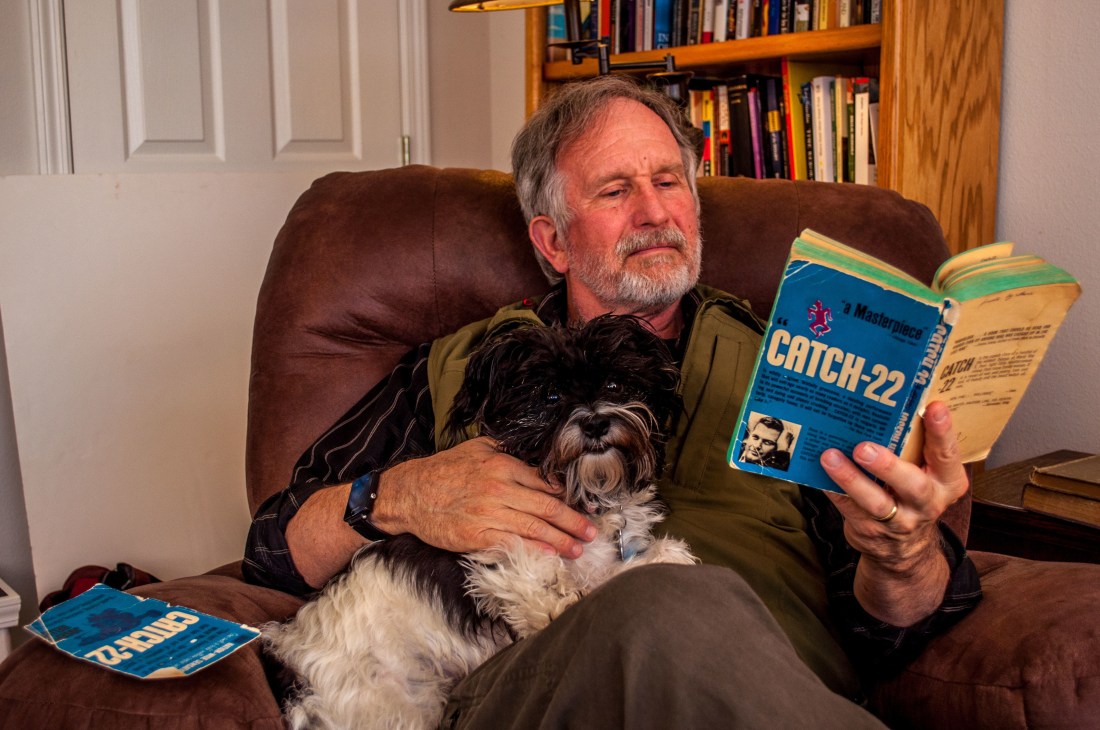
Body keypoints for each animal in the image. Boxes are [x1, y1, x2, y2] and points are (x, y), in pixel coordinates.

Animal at [262, 314, 698, 729]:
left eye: (614, 384)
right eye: (550, 396)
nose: (594, 423)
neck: (586, 493)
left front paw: (660, 556)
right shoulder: (508, 556)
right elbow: (558, 589)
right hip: (392, 706)